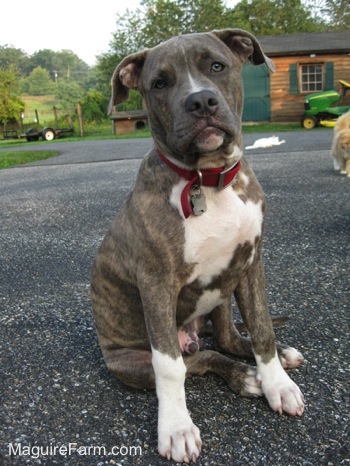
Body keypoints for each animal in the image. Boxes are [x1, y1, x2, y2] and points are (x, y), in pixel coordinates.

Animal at [91, 29, 304, 462]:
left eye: (217, 66)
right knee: (198, 358)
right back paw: (244, 376)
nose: (201, 101)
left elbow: (261, 329)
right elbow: (170, 369)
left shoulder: (251, 262)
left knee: (226, 338)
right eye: (159, 83)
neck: (208, 180)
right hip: (130, 362)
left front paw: (277, 383)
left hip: (222, 294)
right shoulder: (156, 283)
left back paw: (269, 362)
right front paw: (176, 428)